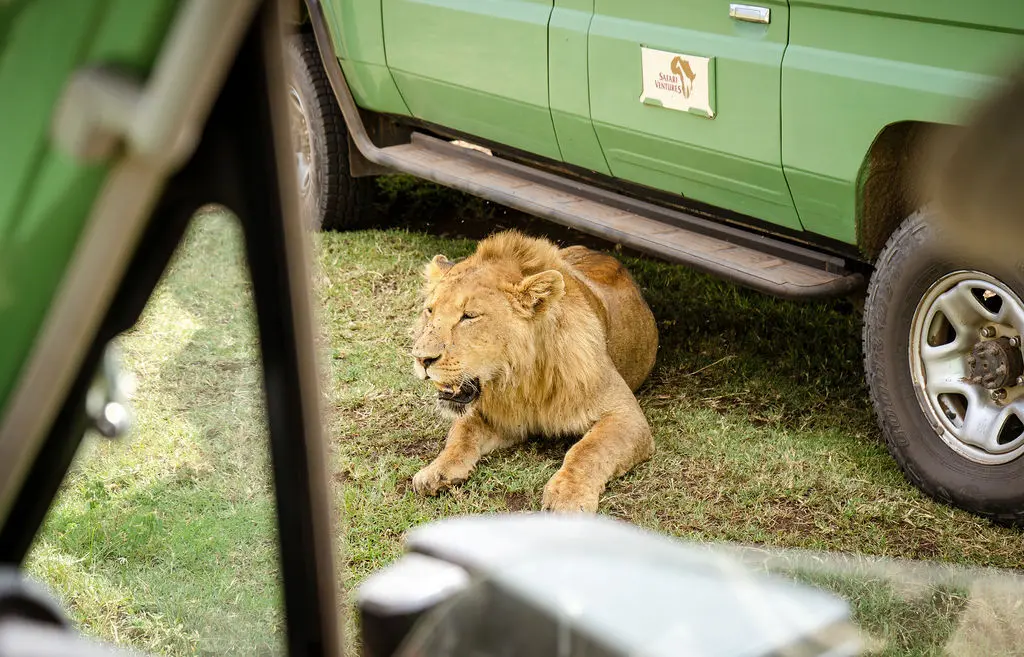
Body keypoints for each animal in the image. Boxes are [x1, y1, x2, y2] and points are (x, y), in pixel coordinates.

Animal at [410, 230, 658, 512]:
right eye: (430, 310)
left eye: (469, 316)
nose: (421, 358)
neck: (520, 379)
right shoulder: (497, 417)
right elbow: (461, 433)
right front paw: (436, 471)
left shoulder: (626, 415)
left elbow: (589, 450)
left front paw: (568, 496)